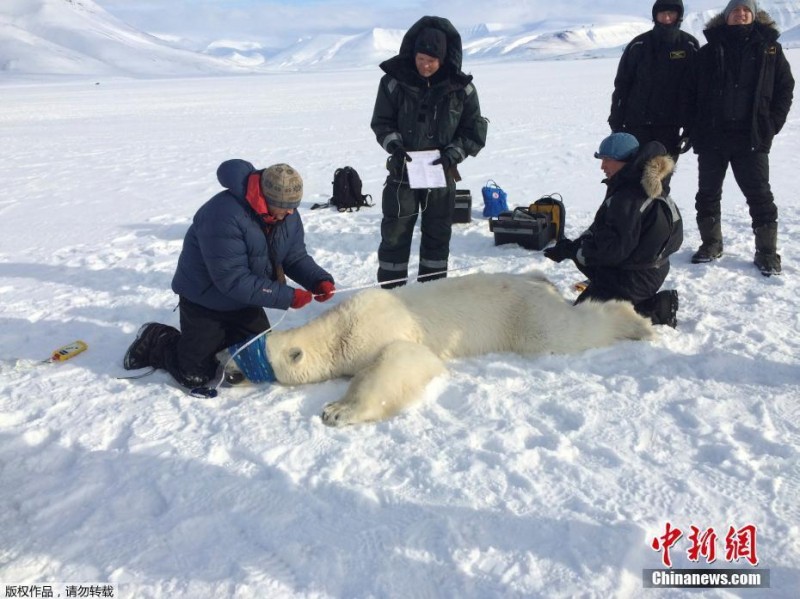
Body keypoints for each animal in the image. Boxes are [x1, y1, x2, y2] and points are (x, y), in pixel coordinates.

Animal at [253, 272, 652, 426]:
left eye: (254, 358)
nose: (236, 374)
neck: (339, 328)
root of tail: (536, 280)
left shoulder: (381, 331)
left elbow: (402, 360)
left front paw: (337, 411)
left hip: (526, 316)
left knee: (567, 332)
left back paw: (638, 323)